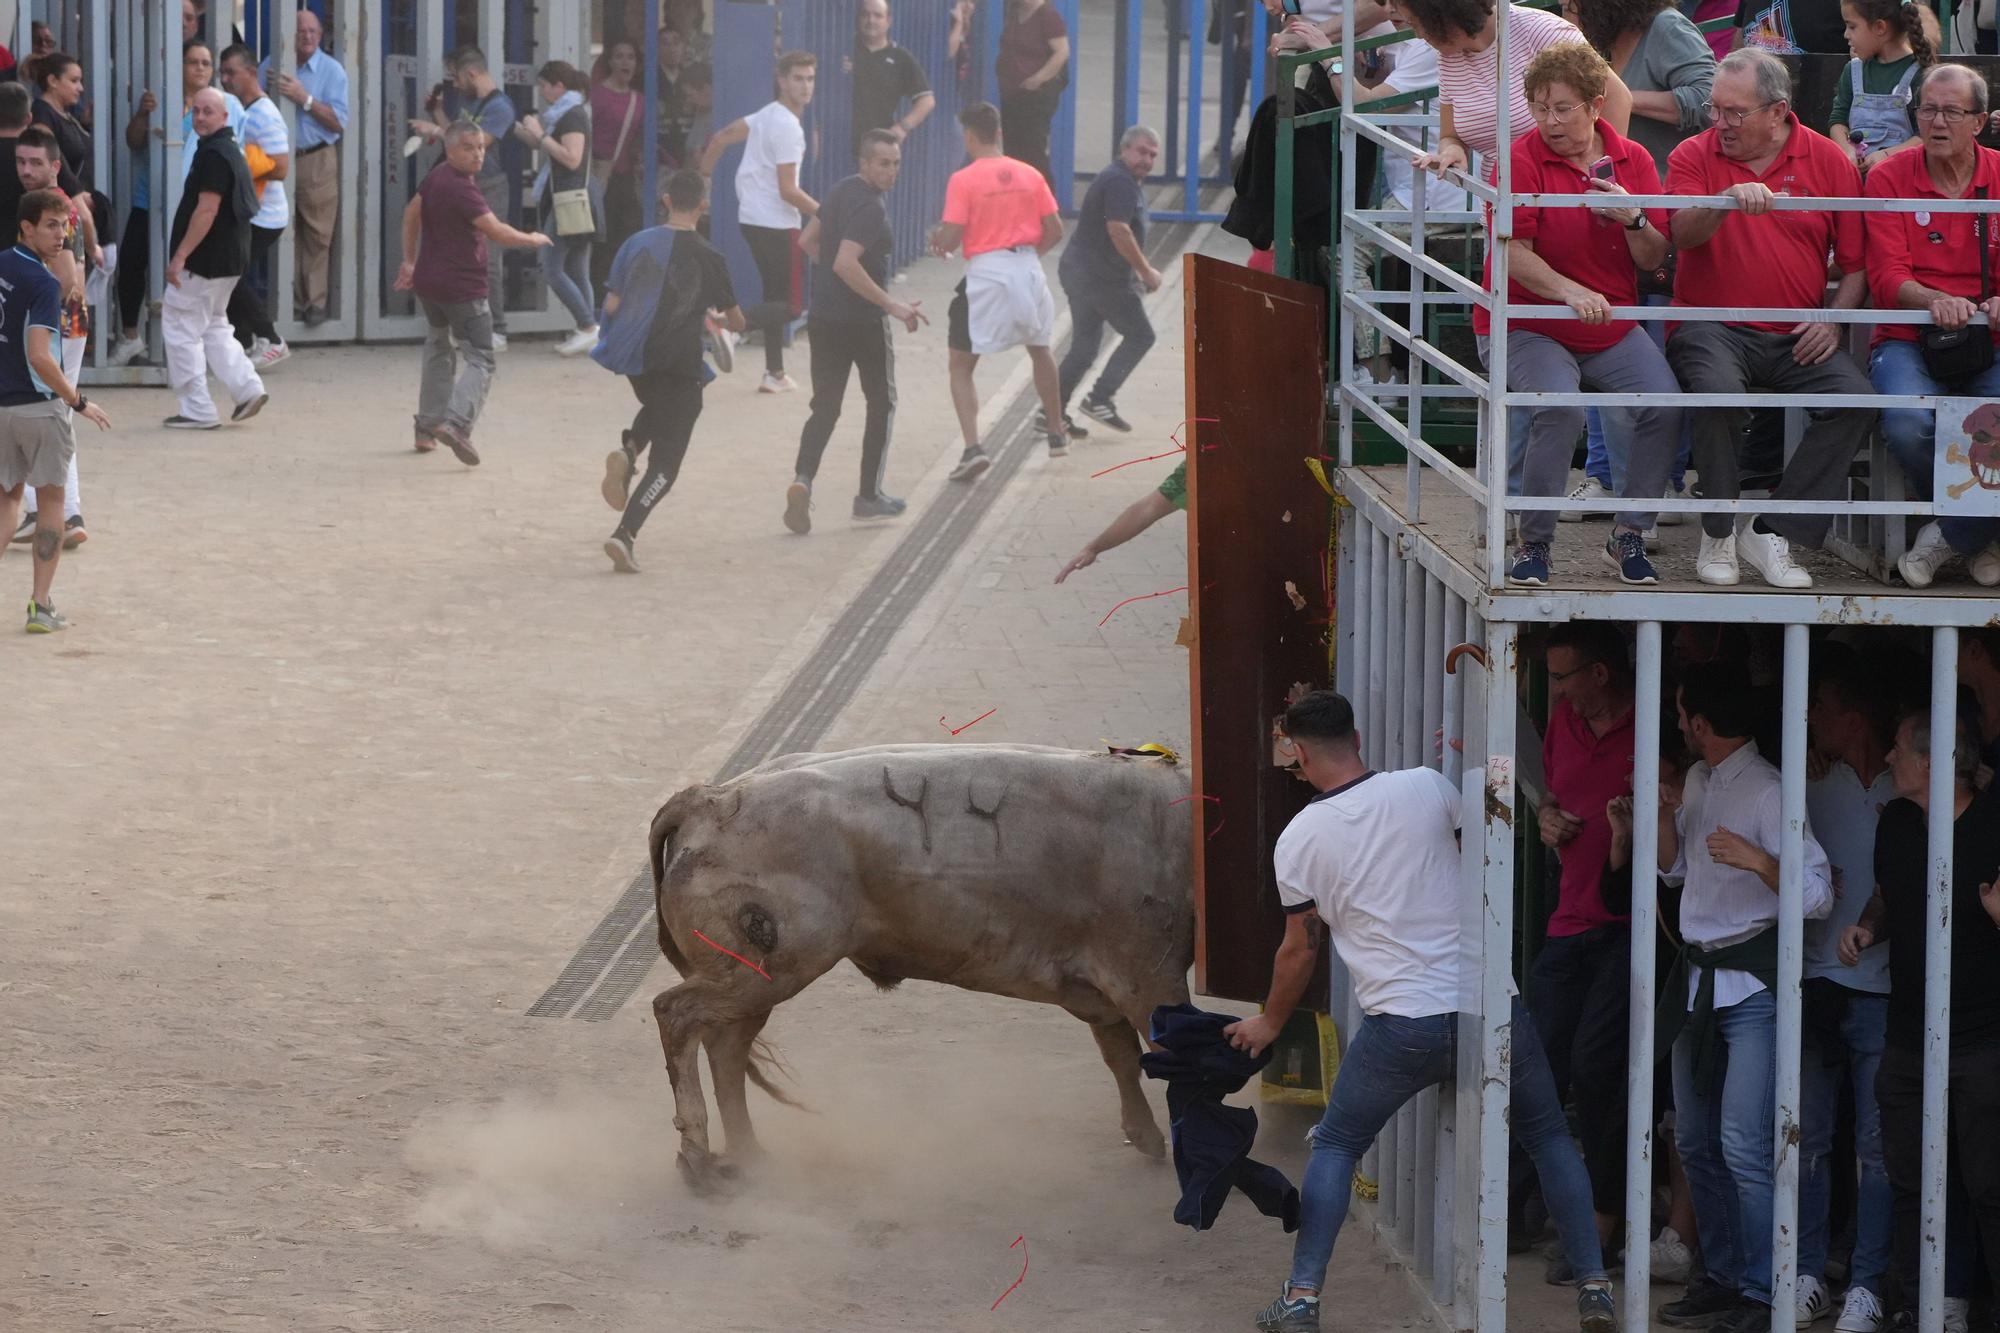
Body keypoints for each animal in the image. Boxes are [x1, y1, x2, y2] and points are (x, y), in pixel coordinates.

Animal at [648, 740, 1192, 1184]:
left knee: (726, 1048)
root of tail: (709, 797)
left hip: (754, 978)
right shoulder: (1148, 977)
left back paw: (747, 1155)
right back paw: (697, 1158)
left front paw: (1146, 1137)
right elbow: (1164, 1058)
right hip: (767, 969)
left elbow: (1121, 1056)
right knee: (676, 1015)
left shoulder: (1107, 990)